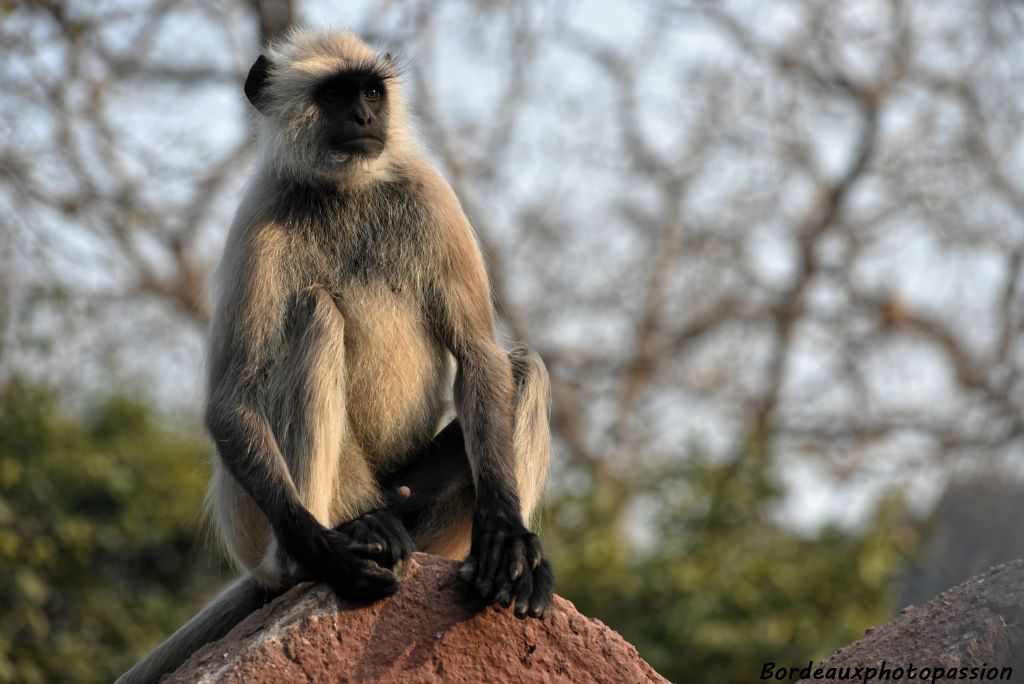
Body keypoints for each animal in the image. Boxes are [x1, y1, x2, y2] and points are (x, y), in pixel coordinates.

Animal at [117, 28, 552, 684]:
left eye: (370, 91)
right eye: (335, 95)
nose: (367, 117)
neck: (346, 187)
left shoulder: (430, 193)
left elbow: (480, 353)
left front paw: (507, 532)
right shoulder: (261, 220)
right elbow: (230, 401)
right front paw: (322, 549)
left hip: (420, 518)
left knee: (523, 368)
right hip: (255, 517)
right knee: (316, 315)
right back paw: (320, 553)